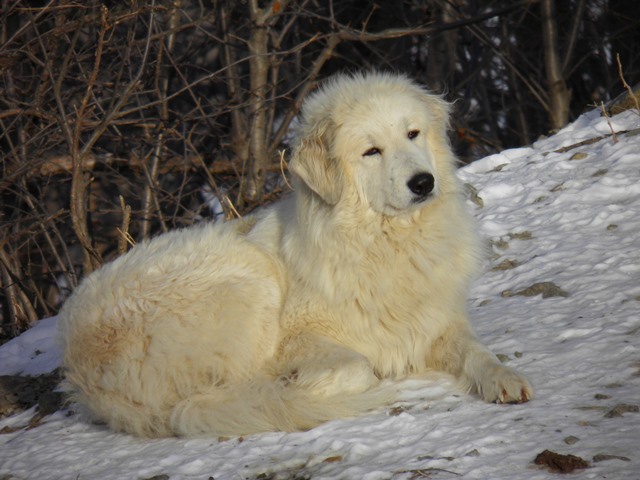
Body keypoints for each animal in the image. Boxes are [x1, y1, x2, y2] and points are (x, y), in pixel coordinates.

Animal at [57, 72, 532, 438]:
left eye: (412, 133)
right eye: (371, 151)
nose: (422, 182)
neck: (386, 244)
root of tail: (81, 374)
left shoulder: (438, 324)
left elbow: (478, 352)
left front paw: (505, 379)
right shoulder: (301, 335)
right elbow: (359, 366)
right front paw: (303, 384)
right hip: (249, 278)